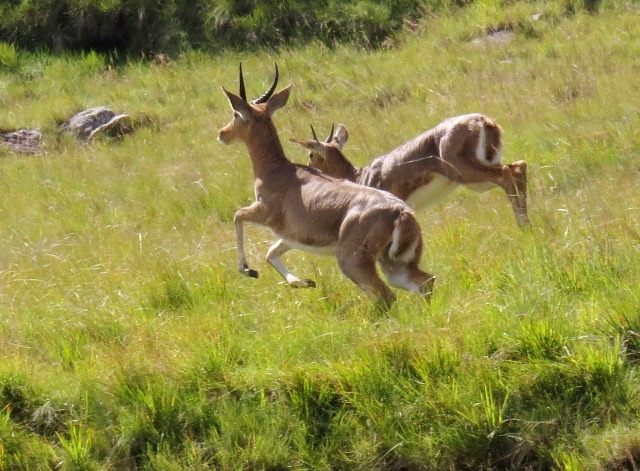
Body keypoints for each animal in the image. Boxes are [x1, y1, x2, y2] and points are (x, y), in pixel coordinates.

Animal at [219, 65, 436, 310]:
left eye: (236, 114)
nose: (222, 133)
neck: (276, 170)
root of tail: (402, 213)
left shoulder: (263, 213)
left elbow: (238, 216)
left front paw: (248, 269)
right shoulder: (290, 236)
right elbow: (270, 253)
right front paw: (303, 282)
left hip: (353, 263)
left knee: (387, 295)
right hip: (393, 264)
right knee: (425, 281)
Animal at [298, 117, 528, 230]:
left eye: (311, 154)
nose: (307, 168)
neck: (361, 177)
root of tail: (482, 121)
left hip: (467, 175)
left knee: (508, 175)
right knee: (519, 167)